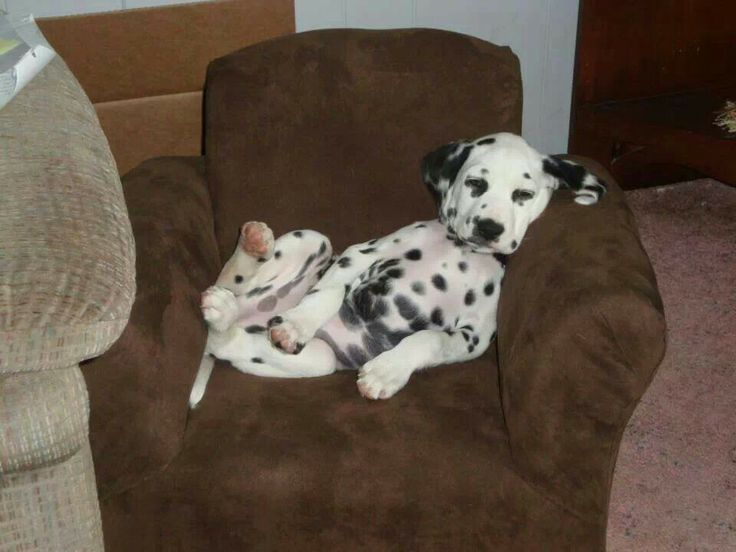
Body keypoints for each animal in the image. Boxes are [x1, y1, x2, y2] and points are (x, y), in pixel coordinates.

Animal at [188, 131, 604, 406]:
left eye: (523, 194)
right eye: (475, 183)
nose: (489, 229)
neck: (462, 250)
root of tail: (249, 316)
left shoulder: (476, 336)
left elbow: (428, 339)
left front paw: (385, 372)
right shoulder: (361, 253)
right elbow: (330, 291)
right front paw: (296, 325)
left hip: (317, 360)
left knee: (228, 340)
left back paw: (224, 316)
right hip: (313, 240)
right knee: (233, 282)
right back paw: (251, 249)